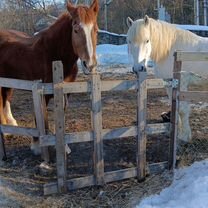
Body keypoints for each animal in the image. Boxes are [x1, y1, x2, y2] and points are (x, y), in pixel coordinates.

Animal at [0, 0, 99, 154]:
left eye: (96, 30)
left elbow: (61, 116)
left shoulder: (65, 92)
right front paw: (37, 146)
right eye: (76, 30)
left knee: (6, 99)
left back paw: (11, 125)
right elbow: (40, 118)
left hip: (10, 81)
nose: (89, 64)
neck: (54, 54)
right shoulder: (42, 93)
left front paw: (64, 146)